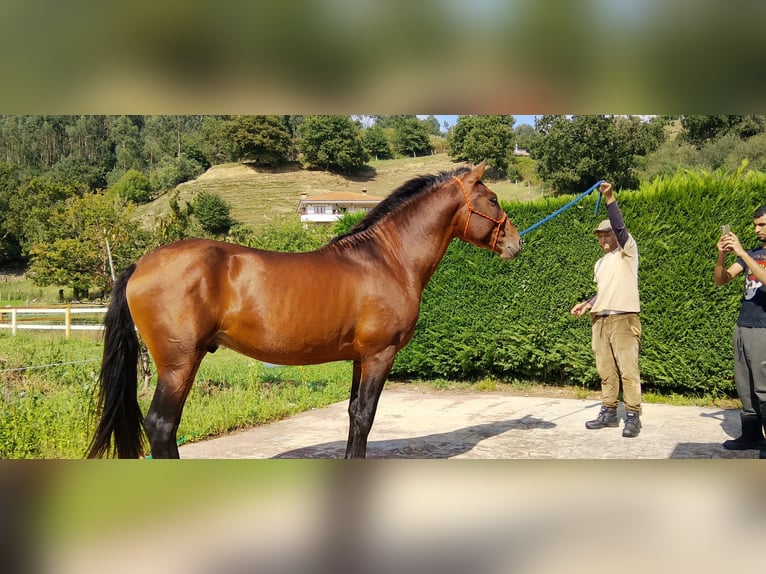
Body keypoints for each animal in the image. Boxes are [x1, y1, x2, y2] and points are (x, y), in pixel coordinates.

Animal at [87, 160, 522, 459]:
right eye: (493, 199)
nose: (516, 243)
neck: (386, 259)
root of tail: (140, 264)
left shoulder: (360, 358)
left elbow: (353, 413)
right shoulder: (380, 355)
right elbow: (366, 416)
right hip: (178, 363)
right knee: (162, 426)